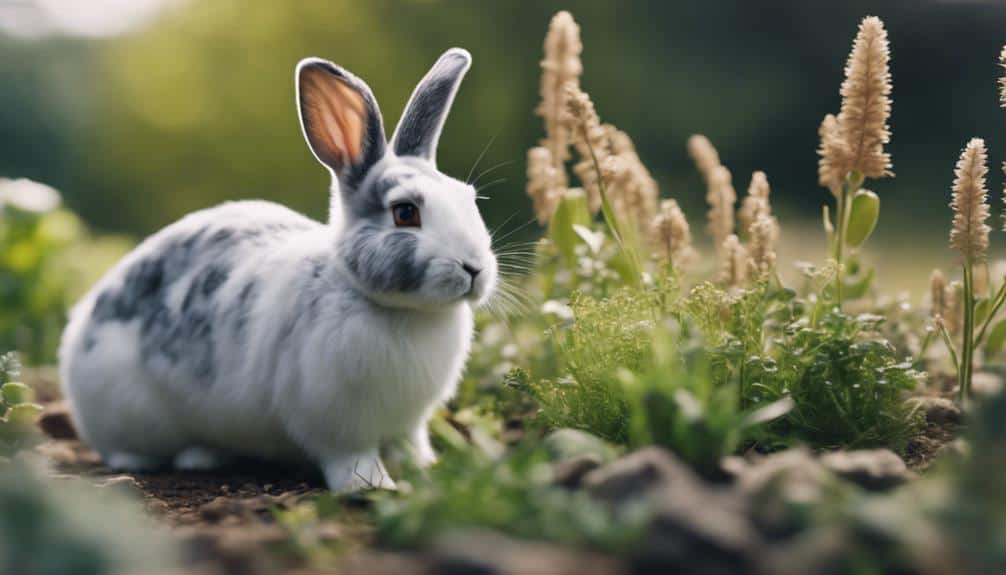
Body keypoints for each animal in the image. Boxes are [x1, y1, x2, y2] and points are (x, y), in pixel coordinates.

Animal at [58, 48, 497, 492]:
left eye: (469, 198)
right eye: (405, 212)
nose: (475, 268)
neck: (399, 310)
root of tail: (80, 325)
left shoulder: (409, 422)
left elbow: (411, 443)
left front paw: (426, 468)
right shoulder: (336, 424)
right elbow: (351, 458)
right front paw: (371, 486)